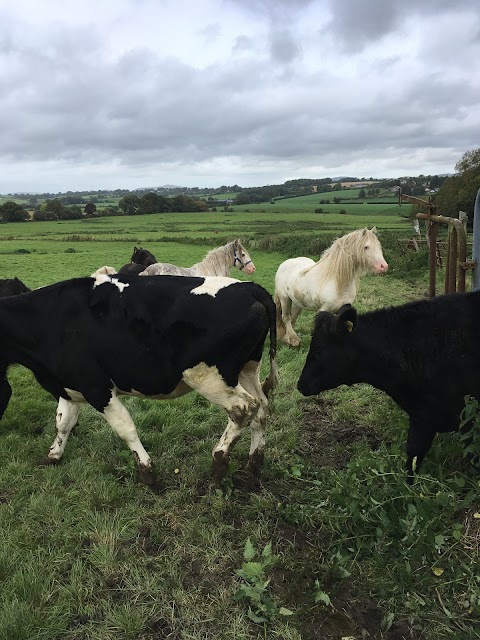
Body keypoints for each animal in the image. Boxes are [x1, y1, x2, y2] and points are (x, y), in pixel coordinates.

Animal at [0, 272, 278, 484]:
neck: (47, 322)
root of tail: (250, 287)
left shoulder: (97, 388)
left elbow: (125, 428)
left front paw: (147, 472)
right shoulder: (70, 386)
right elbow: (63, 423)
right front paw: (53, 456)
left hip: (209, 377)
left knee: (244, 408)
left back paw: (219, 462)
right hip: (247, 369)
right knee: (262, 408)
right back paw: (253, 466)